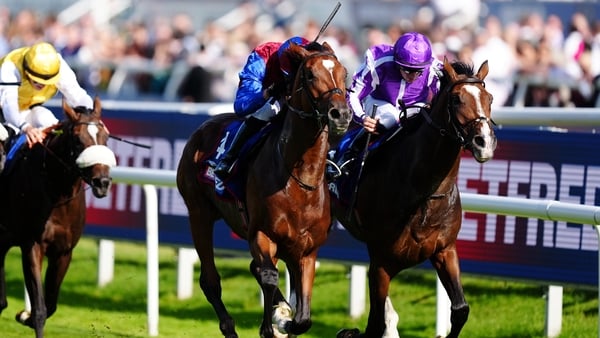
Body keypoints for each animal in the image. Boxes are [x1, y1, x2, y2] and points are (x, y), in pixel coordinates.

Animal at [0, 96, 115, 336]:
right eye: (78, 140)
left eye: (106, 137)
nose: (102, 183)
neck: (58, 193)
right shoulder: (32, 245)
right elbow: (40, 310)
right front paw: (28, 314)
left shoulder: (64, 251)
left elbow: (51, 304)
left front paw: (23, 315)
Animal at [176, 42, 350, 338]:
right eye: (310, 75)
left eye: (344, 74)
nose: (341, 114)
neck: (299, 179)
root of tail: (202, 128)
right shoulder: (261, 233)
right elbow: (269, 277)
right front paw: (272, 325)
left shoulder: (306, 250)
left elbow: (303, 316)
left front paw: (285, 318)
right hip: (198, 213)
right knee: (211, 280)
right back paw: (230, 327)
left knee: (254, 268)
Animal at [330, 58, 494, 338]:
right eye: (457, 99)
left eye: (490, 98)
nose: (484, 142)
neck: (423, 194)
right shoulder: (381, 262)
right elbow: (375, 324)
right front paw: (349, 332)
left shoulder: (444, 249)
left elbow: (460, 310)